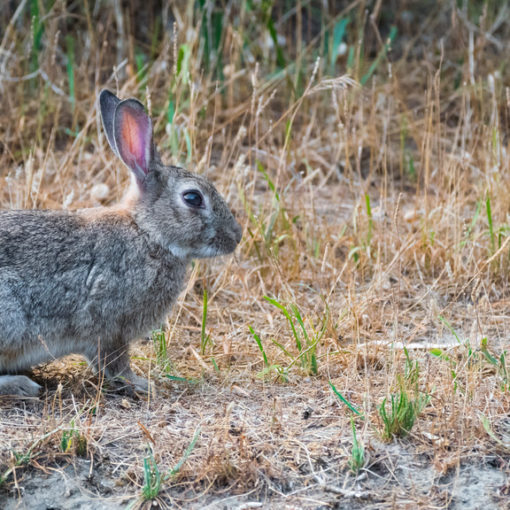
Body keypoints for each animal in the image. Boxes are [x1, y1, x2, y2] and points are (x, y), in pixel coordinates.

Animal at [0, 89, 242, 396]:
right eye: (192, 198)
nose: (236, 236)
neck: (147, 232)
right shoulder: (110, 326)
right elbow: (114, 362)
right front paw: (141, 384)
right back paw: (21, 384)